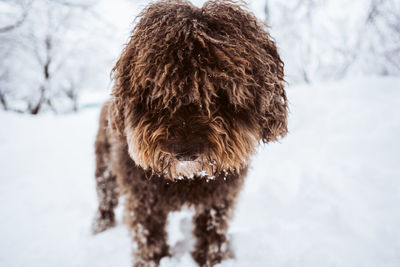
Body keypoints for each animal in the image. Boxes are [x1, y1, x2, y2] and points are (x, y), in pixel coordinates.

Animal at [92, 1, 286, 266]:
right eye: (158, 90)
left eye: (220, 91)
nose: (185, 151)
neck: (188, 179)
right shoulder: (144, 201)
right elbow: (149, 239)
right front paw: (153, 260)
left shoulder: (219, 198)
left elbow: (212, 233)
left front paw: (213, 258)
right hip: (105, 169)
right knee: (106, 196)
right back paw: (101, 224)